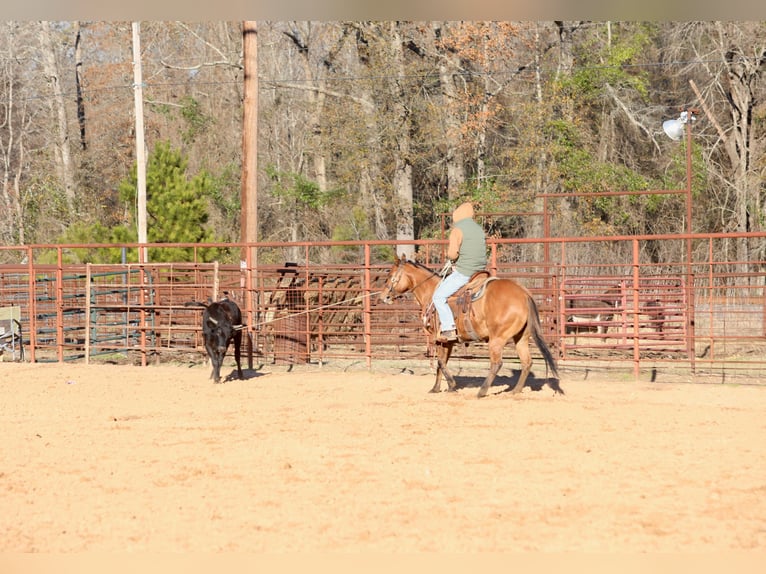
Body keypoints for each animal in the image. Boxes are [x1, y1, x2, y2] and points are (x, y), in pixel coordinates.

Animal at [380, 256, 560, 400]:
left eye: (389, 276)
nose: (384, 297)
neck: (431, 293)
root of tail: (523, 293)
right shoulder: (447, 341)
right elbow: (441, 363)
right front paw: (437, 388)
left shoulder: (437, 339)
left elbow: (440, 362)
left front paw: (451, 385)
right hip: (521, 337)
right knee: (526, 362)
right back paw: (515, 391)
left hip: (497, 339)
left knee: (496, 363)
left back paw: (482, 391)